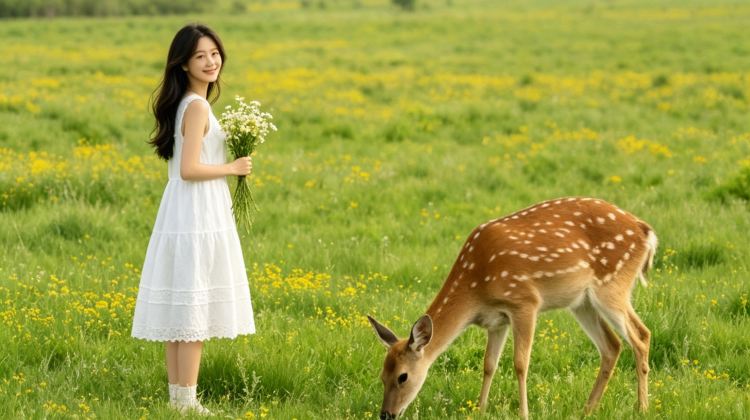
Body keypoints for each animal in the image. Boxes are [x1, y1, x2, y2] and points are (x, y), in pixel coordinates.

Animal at [368, 197, 657, 419]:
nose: (386, 414)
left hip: (612, 286)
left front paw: (523, 413)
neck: (476, 288)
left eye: (403, 377)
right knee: (612, 345)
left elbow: (520, 363)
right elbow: (489, 364)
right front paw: (480, 408)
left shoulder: (524, 302)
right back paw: (587, 409)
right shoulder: (497, 320)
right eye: (382, 375)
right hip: (582, 302)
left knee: (641, 336)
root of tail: (646, 232)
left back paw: (642, 408)